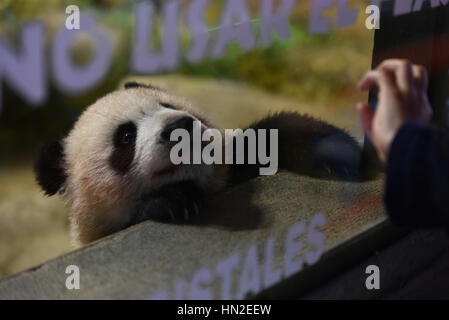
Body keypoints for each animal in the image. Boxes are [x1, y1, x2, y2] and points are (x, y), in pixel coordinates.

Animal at [34, 81, 360, 246]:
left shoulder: (233, 168)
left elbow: (268, 135)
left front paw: (339, 152)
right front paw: (174, 200)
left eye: (168, 106)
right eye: (125, 136)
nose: (179, 126)